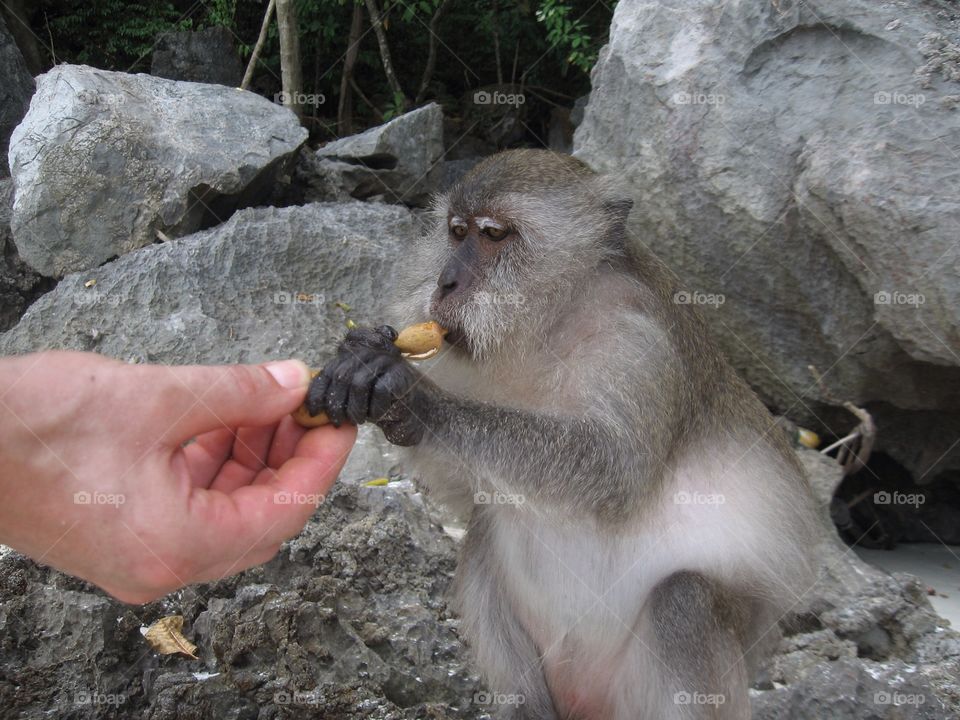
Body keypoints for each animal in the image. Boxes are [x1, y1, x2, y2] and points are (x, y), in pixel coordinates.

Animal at [306, 149, 816, 716]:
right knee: (485, 528)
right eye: (456, 232)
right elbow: (469, 493)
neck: (550, 325)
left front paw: (414, 398)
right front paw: (362, 357)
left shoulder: (639, 343)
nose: (445, 282)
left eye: (494, 234)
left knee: (684, 599)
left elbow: (614, 471)